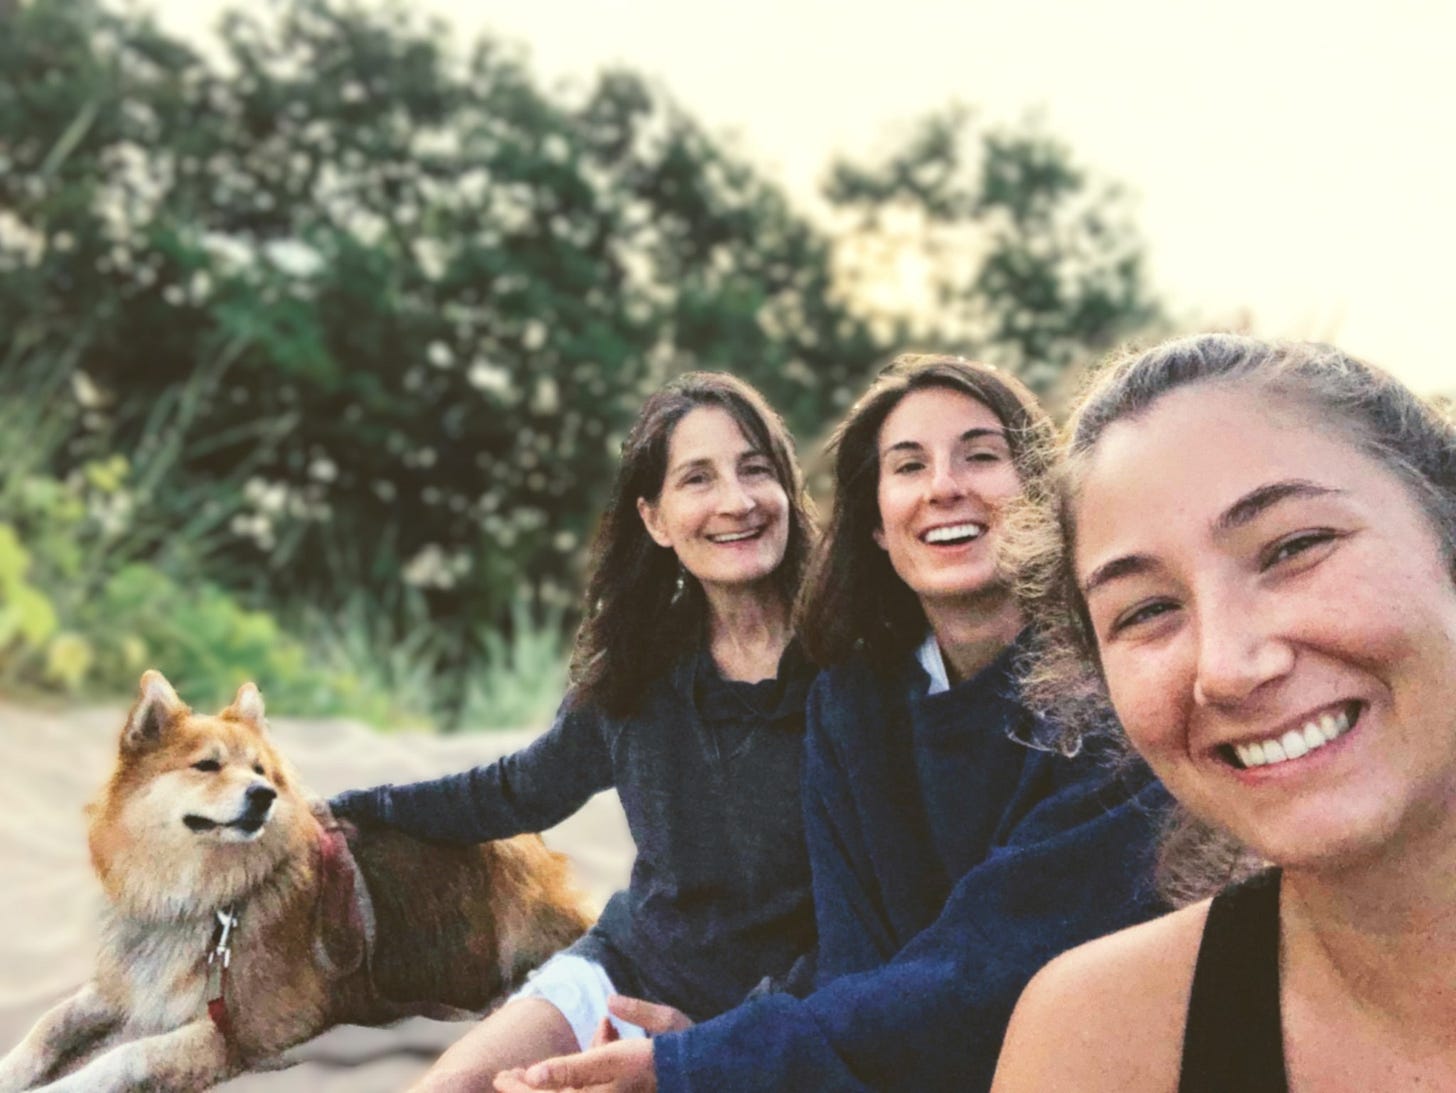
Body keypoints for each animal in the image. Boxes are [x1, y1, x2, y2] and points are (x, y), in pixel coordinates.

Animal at [0, 672, 596, 1088]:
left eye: (260, 772)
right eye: (207, 766)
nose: (262, 796)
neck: (207, 899)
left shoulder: (235, 1031)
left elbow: (124, 1057)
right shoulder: (122, 984)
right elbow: (48, 1024)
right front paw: (13, 1069)